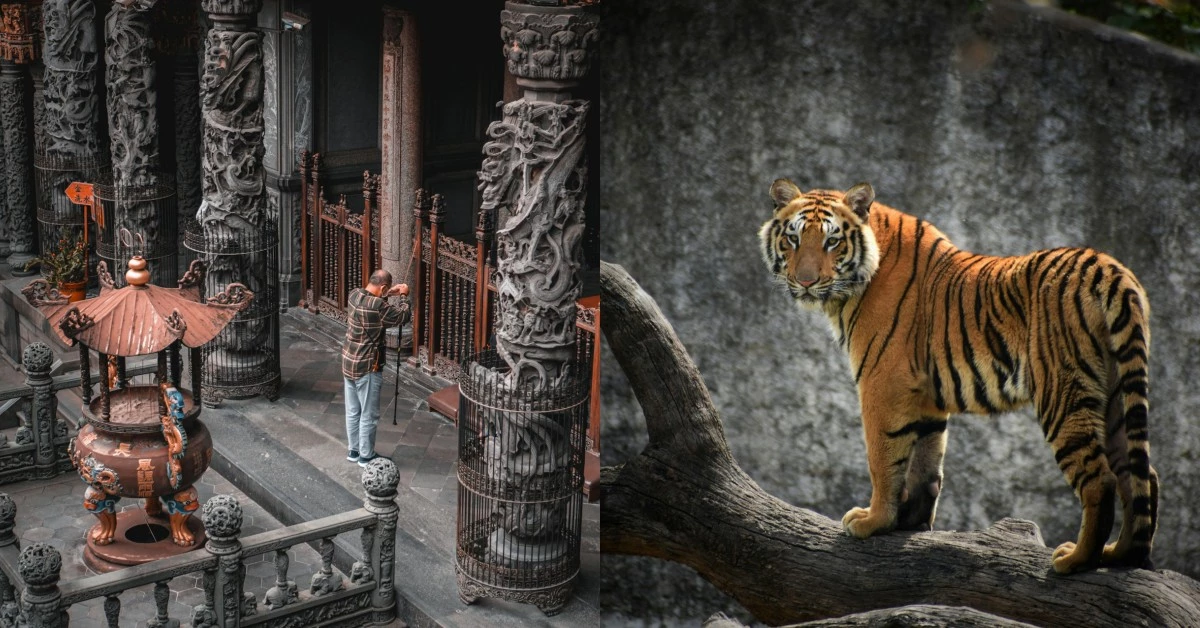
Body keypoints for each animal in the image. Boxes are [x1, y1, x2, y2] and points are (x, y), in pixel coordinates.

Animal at [758, 178, 1157, 574]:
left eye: (832, 241)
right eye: (793, 239)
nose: (806, 282)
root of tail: (1109, 268)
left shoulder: (882, 383)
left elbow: (883, 458)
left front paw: (873, 521)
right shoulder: (924, 395)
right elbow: (926, 461)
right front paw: (910, 522)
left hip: (1063, 392)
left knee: (1101, 480)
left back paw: (1075, 560)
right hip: (1116, 394)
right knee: (1141, 476)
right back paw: (1120, 555)